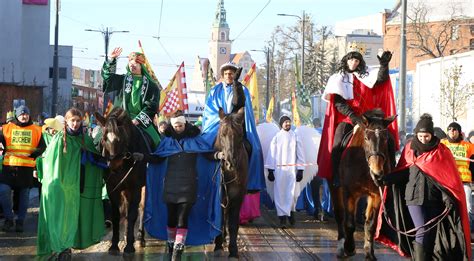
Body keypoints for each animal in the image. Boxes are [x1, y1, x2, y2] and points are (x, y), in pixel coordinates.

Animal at [94, 106, 148, 255]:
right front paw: (114, 245)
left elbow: (133, 214)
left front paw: (129, 246)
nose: (112, 165)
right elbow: (117, 215)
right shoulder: (112, 188)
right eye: (104, 138)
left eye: (121, 138)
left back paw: (140, 238)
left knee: (142, 208)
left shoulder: (136, 187)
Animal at [330, 108, 396, 258]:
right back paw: (340, 246)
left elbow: (370, 224)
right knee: (339, 215)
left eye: (385, 139)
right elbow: (349, 223)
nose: (377, 173)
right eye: (366, 138)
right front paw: (349, 248)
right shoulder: (349, 193)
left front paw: (369, 252)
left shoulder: (376, 194)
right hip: (335, 189)